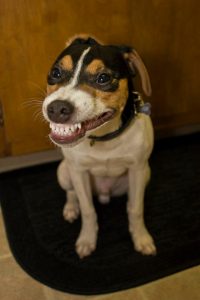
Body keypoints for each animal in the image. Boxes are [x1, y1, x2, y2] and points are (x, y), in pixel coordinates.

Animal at [42, 34, 156, 258]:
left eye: (103, 78)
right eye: (56, 73)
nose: (56, 108)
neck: (104, 139)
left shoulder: (138, 170)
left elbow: (136, 209)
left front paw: (141, 238)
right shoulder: (79, 172)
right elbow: (88, 210)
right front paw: (87, 240)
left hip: (145, 174)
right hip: (64, 172)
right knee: (71, 193)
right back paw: (71, 209)